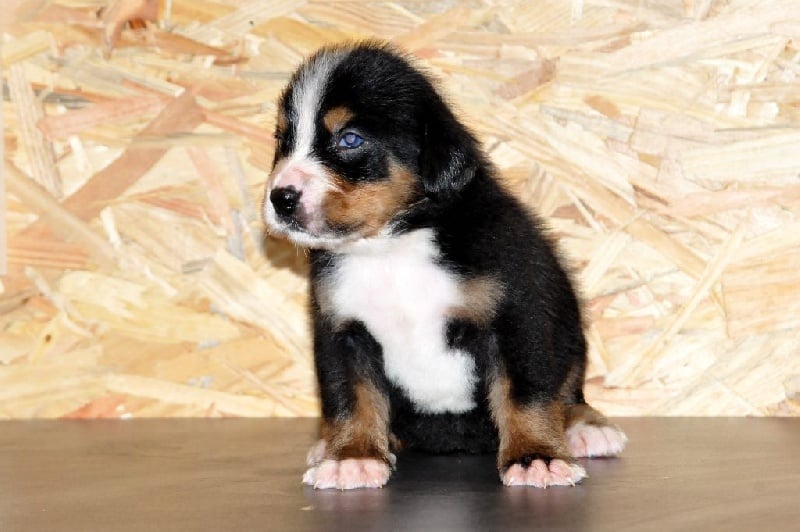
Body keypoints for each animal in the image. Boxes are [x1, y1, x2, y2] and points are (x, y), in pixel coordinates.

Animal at [262, 42, 627, 490]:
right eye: (283, 139)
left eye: (350, 139)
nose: (281, 198)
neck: (392, 249)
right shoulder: (342, 331)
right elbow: (350, 398)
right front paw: (352, 457)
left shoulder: (517, 315)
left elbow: (525, 395)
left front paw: (535, 457)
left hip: (571, 336)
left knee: (569, 392)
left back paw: (585, 428)